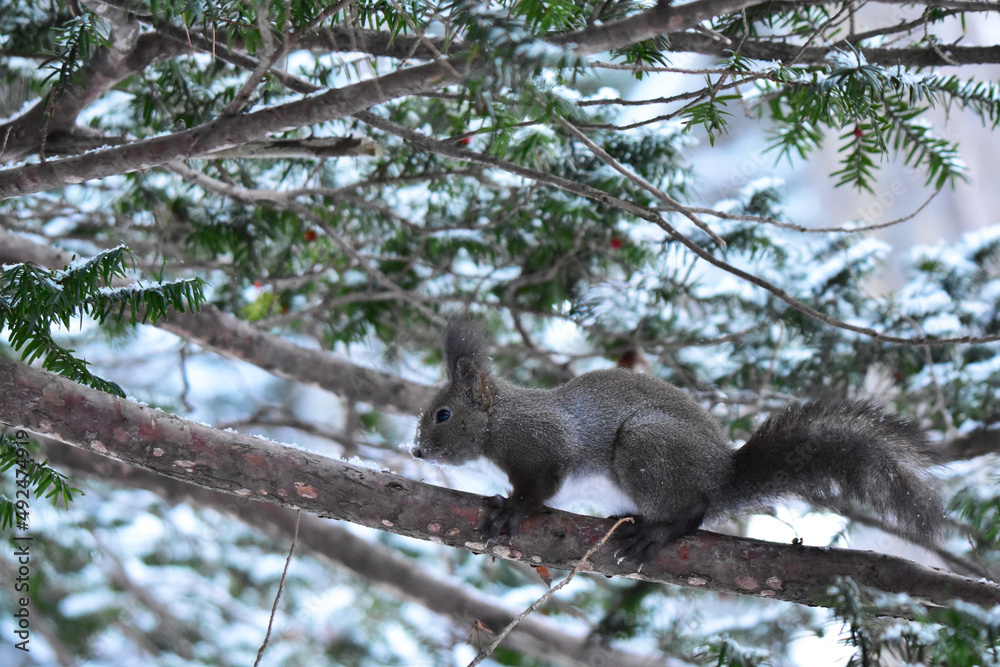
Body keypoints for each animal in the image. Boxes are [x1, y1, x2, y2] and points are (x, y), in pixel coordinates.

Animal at [411, 313, 946, 561]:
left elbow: (540, 486)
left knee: (693, 512)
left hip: (644, 448)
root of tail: (721, 475)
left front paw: (511, 509)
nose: (414, 450)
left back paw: (656, 532)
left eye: (443, 414)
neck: (497, 422)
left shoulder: (541, 445)